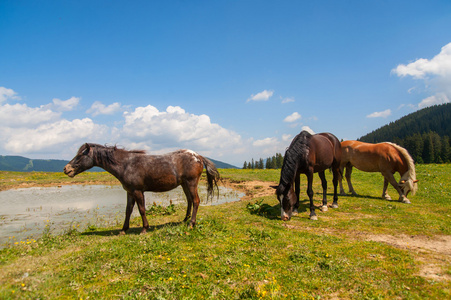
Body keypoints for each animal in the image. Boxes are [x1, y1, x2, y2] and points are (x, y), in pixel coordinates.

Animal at [62, 144, 220, 234]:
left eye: (80, 155)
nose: (66, 169)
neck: (126, 164)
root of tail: (198, 156)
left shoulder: (138, 191)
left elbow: (142, 210)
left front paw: (145, 228)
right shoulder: (130, 192)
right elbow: (128, 210)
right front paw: (123, 230)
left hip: (191, 183)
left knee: (196, 201)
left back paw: (191, 224)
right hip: (184, 184)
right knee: (189, 201)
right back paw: (184, 220)